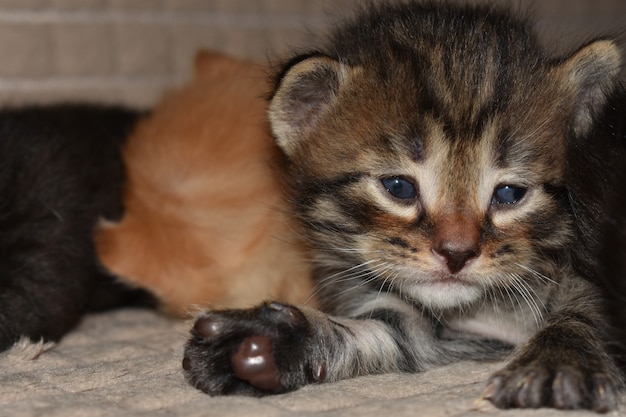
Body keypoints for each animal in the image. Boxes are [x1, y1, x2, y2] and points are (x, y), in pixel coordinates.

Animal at [183, 0, 620, 412]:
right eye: (399, 188)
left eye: (510, 194)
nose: (456, 253)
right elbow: (391, 331)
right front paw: (273, 341)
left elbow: (585, 308)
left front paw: (561, 359)